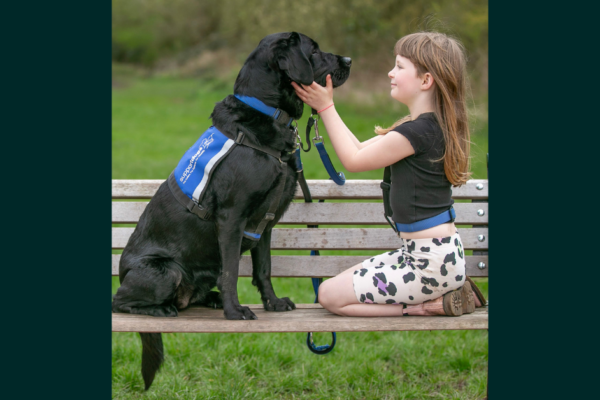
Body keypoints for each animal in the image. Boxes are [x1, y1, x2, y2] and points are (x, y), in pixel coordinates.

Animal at [112, 32, 352, 390]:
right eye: (314, 50)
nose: (349, 60)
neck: (268, 115)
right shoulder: (231, 218)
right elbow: (232, 273)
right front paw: (234, 311)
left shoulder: (265, 225)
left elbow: (264, 270)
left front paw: (273, 304)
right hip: (166, 271)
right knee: (120, 301)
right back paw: (161, 310)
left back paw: (205, 299)